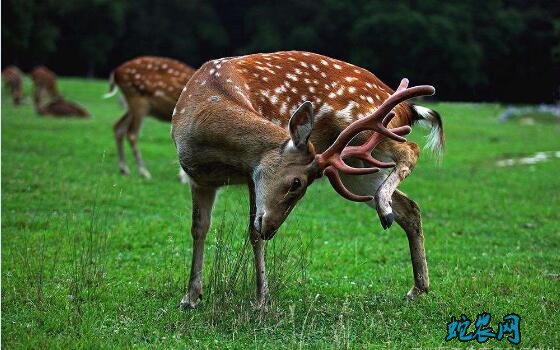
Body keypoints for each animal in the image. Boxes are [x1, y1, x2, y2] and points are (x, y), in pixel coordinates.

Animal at [173, 50, 444, 308]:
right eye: (297, 183)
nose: (271, 230)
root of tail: (405, 107)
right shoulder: (198, 179)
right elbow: (199, 228)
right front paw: (190, 297)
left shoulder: (252, 177)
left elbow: (252, 234)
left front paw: (262, 301)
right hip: (353, 169)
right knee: (410, 207)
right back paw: (417, 287)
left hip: (369, 131)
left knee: (411, 149)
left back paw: (386, 210)